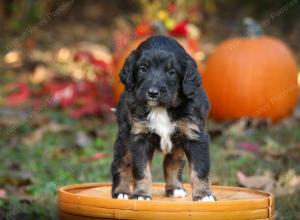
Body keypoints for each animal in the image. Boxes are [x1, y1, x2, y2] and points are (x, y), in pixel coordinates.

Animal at [111, 35, 214, 202]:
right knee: (121, 163)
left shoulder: (195, 135)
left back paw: (175, 189)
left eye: (171, 72)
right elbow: (141, 170)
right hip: (124, 137)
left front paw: (203, 195)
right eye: (143, 68)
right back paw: (122, 191)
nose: (153, 93)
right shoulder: (139, 137)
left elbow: (200, 169)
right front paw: (141, 194)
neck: (161, 108)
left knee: (172, 163)